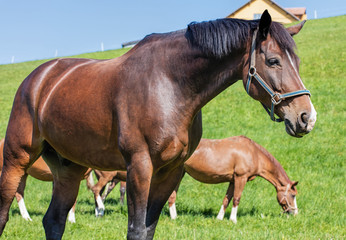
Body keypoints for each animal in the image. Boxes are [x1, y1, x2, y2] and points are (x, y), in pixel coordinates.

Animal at [168, 136, 298, 222]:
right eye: (293, 195)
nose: (295, 213)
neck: (254, 153)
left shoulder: (232, 180)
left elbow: (226, 199)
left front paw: (219, 218)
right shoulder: (241, 178)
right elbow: (236, 199)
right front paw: (233, 220)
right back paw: (174, 218)